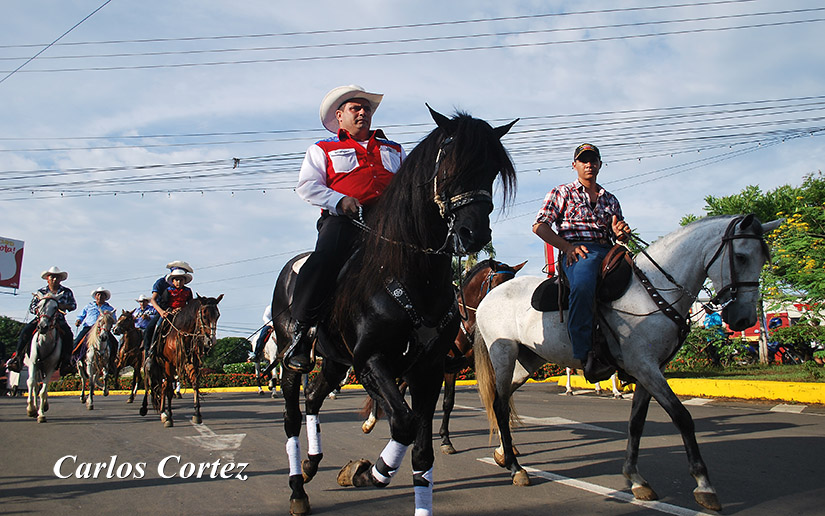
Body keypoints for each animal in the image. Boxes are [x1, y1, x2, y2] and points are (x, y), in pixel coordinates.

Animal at [25, 294, 62, 424]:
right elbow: (31, 383)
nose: (42, 327)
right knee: (34, 384)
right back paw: (34, 408)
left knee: (41, 388)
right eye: (38, 306)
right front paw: (31, 409)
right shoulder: (33, 363)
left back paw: (43, 406)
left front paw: (41, 414)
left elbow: (43, 389)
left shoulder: (51, 367)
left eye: (55, 307)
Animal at [141, 294, 222, 428]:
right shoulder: (169, 363)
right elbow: (169, 389)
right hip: (152, 367)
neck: (182, 332)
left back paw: (163, 412)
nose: (211, 341)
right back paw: (148, 409)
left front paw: (197, 414)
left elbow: (195, 384)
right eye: (204, 315)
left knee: (162, 386)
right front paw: (169, 418)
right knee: (151, 385)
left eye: (218, 315)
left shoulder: (190, 361)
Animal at [270, 106, 516, 516]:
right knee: (291, 415)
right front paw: (368, 473)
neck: (411, 272)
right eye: (450, 161)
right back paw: (297, 489)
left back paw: (311, 464)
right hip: (295, 362)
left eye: (492, 170)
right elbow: (403, 422)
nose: (473, 234)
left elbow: (422, 451)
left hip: (334, 361)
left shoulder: (428, 368)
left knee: (314, 398)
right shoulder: (371, 360)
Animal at [470, 215, 780, 512]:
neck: (653, 292)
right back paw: (515, 468)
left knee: (501, 400)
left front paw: (635, 478)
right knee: (500, 405)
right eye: (741, 256)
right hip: (504, 354)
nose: (743, 319)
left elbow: (636, 423)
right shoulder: (644, 366)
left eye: (762, 258)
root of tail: (487, 298)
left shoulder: (650, 370)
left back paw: (504, 454)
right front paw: (704, 486)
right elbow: (682, 417)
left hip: (528, 362)